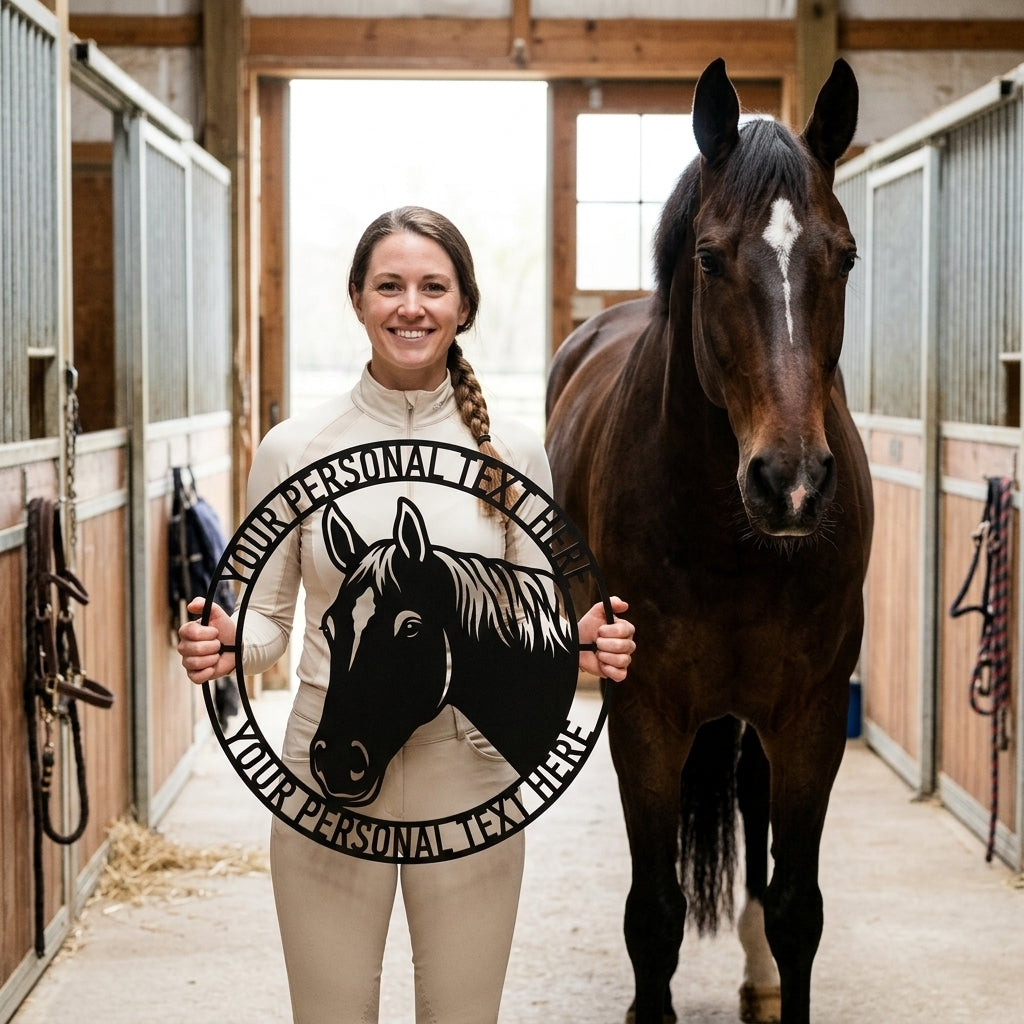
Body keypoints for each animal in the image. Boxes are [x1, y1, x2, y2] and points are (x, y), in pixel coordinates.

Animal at [545, 58, 873, 1024]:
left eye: (845, 256)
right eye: (708, 257)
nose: (791, 483)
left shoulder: (810, 716)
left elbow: (798, 907)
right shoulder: (646, 712)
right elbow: (653, 913)